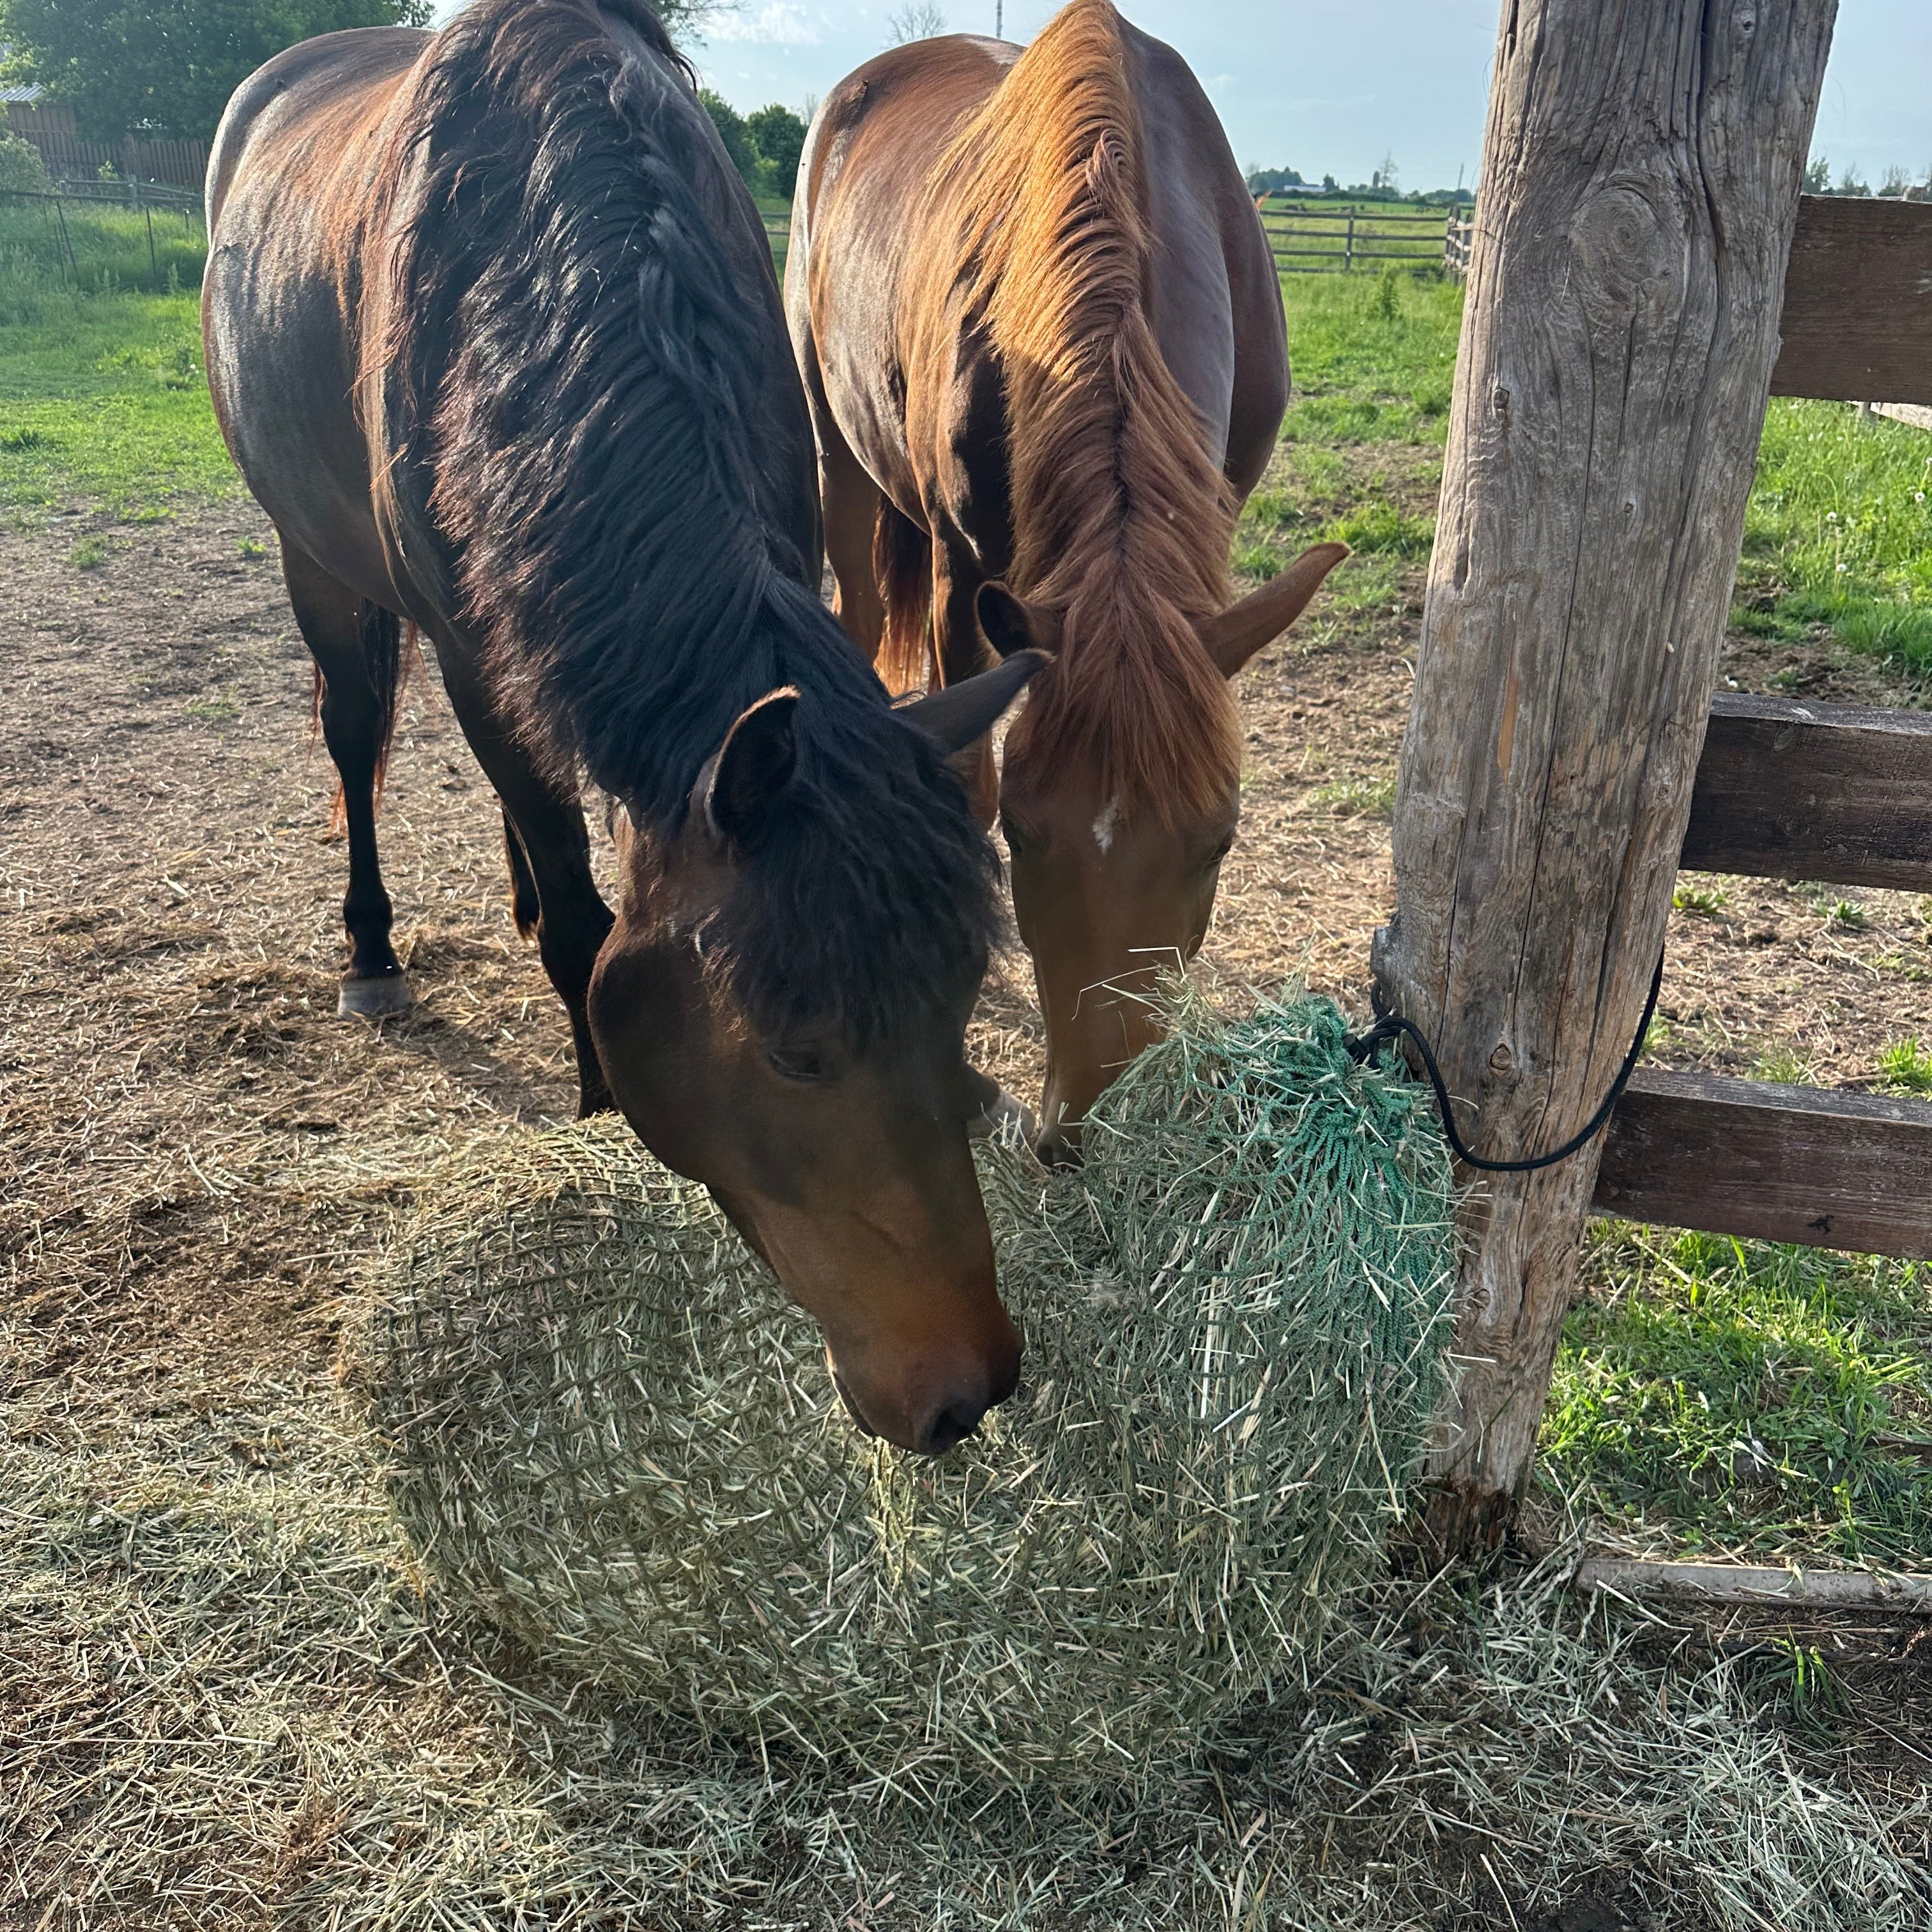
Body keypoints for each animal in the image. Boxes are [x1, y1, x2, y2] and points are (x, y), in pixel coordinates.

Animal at [203, 0, 1045, 1454]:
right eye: (795, 1053)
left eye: (952, 1001)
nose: (965, 1389)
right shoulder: (479, 663)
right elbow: (584, 918)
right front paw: (599, 1098)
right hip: (317, 564)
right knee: (359, 738)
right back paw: (372, 946)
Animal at [785, 0, 1346, 1161]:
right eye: (1025, 837)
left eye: (1218, 840)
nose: (1086, 1126)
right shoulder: (964, 575)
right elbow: (967, 756)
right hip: (840, 460)